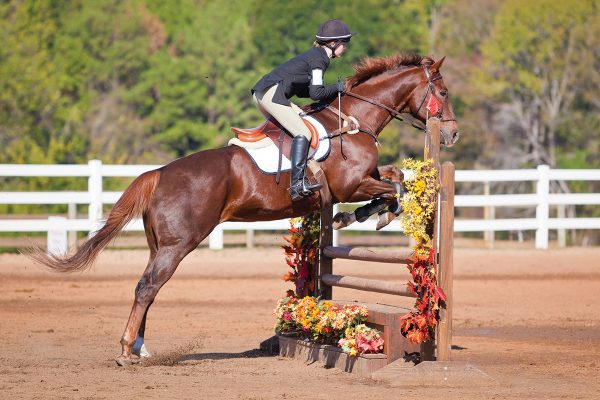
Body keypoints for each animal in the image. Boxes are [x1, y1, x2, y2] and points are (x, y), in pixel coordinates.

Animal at [27, 53, 460, 366]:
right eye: (442, 91)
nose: (453, 133)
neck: (354, 120)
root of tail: (160, 173)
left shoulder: (364, 178)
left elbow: (395, 175)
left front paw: (356, 215)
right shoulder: (350, 184)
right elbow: (395, 188)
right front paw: (369, 215)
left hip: (158, 245)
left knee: (146, 287)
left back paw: (139, 348)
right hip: (178, 244)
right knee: (148, 286)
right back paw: (125, 350)